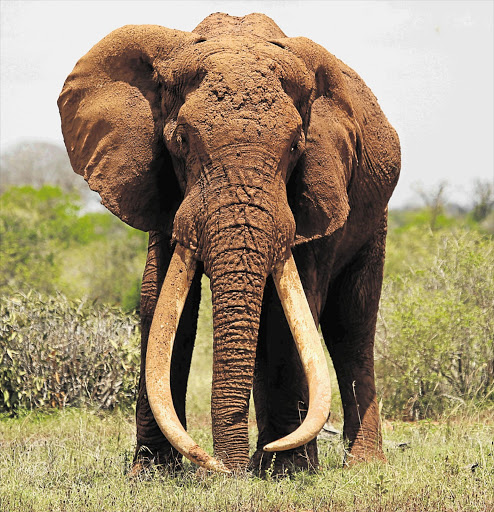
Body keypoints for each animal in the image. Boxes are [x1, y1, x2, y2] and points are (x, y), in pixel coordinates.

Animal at [58, 12, 400, 476]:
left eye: (296, 146)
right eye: (181, 141)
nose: (225, 469)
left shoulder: (320, 188)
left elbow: (290, 313)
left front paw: (288, 472)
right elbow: (160, 304)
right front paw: (151, 473)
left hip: (374, 218)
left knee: (351, 325)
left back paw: (354, 466)